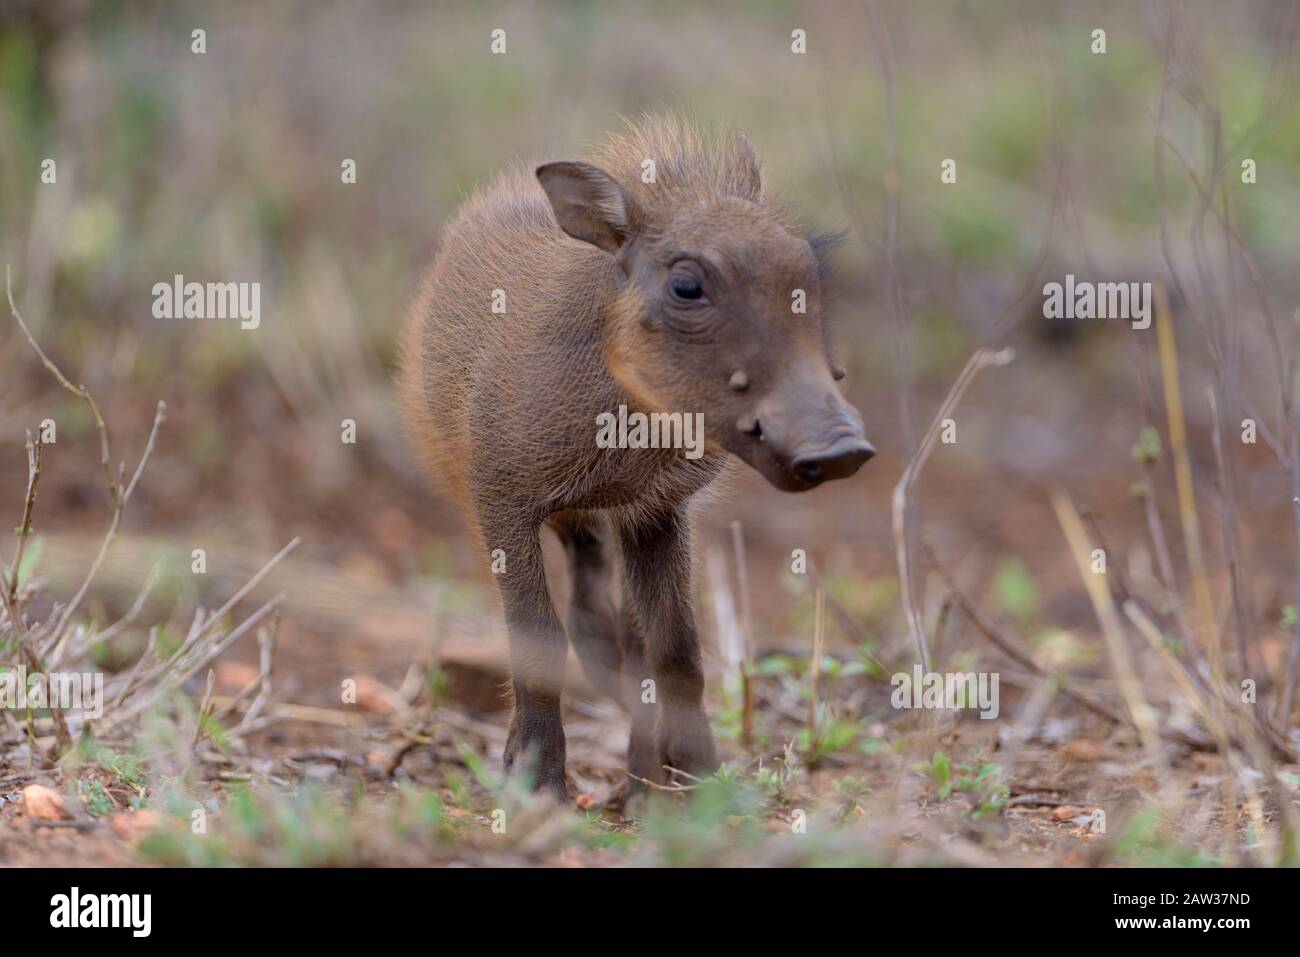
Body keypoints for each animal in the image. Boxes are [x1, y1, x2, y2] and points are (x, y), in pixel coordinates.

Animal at [398, 115, 874, 803]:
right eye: (686, 285)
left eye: (810, 273)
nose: (841, 450)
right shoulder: (501, 501)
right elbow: (538, 639)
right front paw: (540, 788)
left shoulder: (656, 511)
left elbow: (677, 651)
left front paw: (696, 782)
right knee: (591, 628)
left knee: (619, 634)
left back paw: (642, 779)